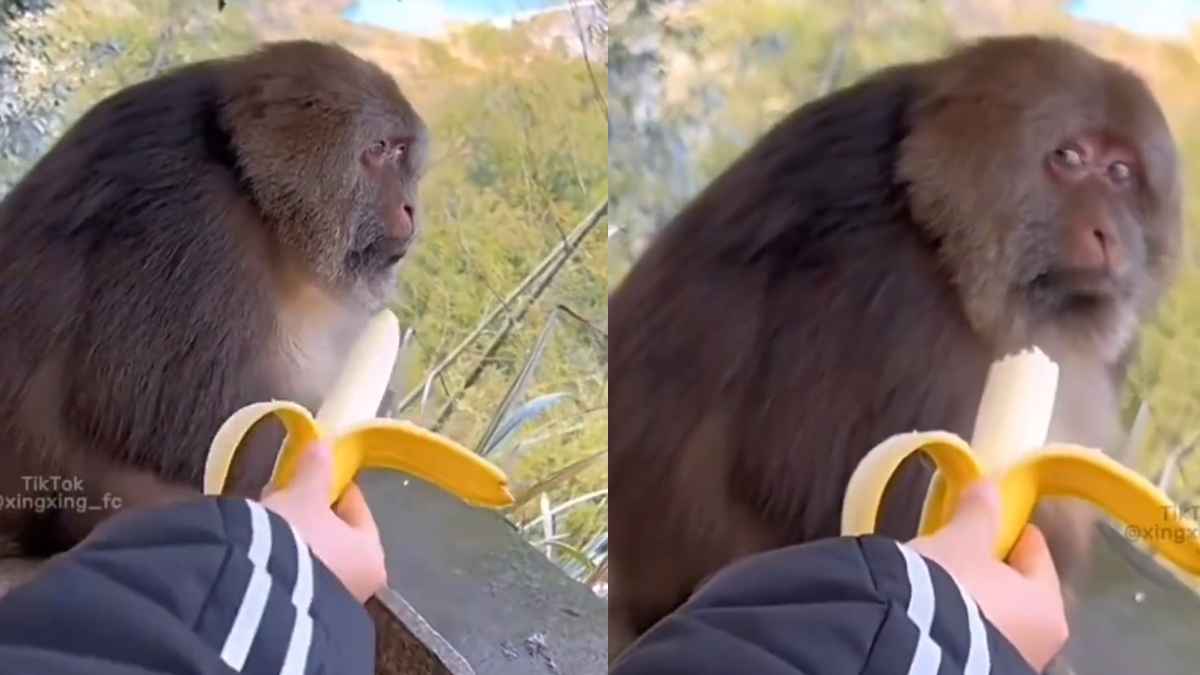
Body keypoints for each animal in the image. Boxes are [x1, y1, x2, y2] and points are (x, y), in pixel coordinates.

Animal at [0, 40, 429, 561]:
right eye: (381, 150)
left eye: (405, 157)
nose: (410, 208)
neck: (249, 185)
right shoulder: (193, 224)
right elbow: (182, 427)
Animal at [608, 34, 1182, 665]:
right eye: (1071, 158)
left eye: (1121, 171)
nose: (1110, 236)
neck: (938, 224)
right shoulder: (885, 282)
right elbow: (846, 500)